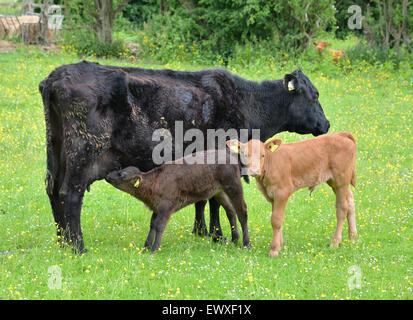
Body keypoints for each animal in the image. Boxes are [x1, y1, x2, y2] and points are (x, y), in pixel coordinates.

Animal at [105, 150, 248, 252]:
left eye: (122, 175)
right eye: (120, 170)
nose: (107, 175)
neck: (154, 183)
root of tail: (229, 153)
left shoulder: (166, 206)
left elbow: (159, 226)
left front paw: (154, 249)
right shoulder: (156, 207)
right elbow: (152, 225)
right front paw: (146, 247)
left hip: (234, 185)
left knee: (242, 212)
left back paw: (246, 244)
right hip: (219, 191)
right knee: (230, 210)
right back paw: (234, 239)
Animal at [227, 132, 356, 258]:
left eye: (263, 155)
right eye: (245, 155)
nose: (254, 171)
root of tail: (340, 134)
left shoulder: (282, 192)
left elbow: (276, 220)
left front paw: (274, 249)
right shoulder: (272, 196)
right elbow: (277, 218)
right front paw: (280, 243)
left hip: (341, 179)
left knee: (342, 208)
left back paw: (335, 242)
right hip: (334, 181)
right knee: (350, 202)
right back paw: (352, 237)